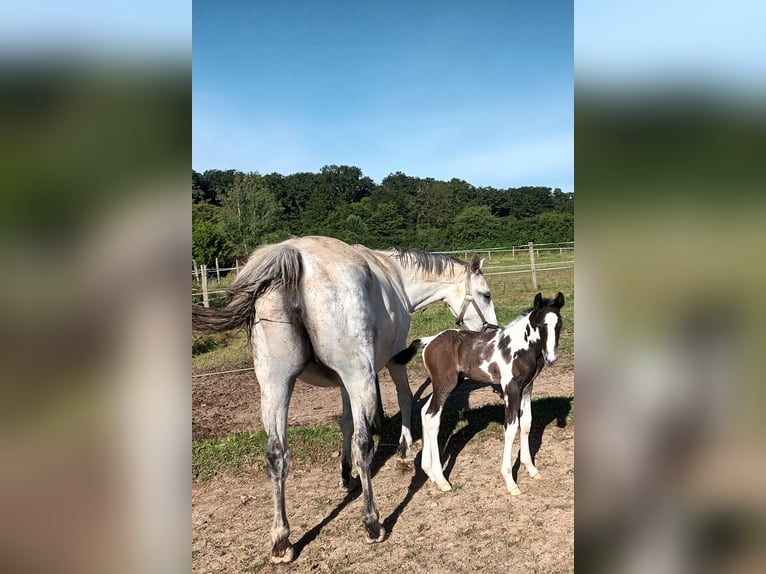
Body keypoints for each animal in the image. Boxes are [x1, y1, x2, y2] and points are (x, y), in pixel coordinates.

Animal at [396, 292, 564, 496]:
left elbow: (526, 424)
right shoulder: (511, 388)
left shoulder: (526, 388)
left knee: (424, 412)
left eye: (559, 323)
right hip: (445, 384)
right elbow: (511, 429)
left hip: (448, 383)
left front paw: (531, 469)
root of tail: (430, 340)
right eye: (540, 325)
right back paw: (442, 479)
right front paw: (510, 482)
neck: (522, 346)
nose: (551, 358)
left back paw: (430, 473)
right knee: (432, 417)